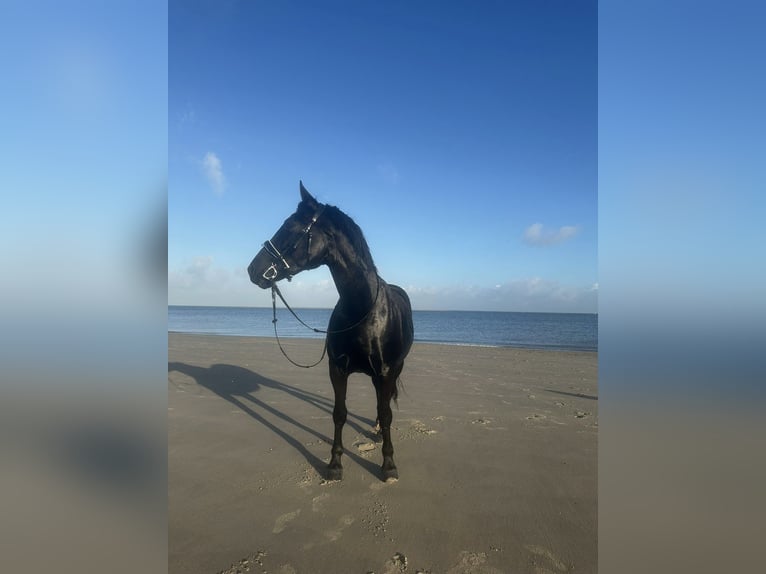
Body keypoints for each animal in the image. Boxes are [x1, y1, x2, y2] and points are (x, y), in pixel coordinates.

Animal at [248, 182, 414, 482]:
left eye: (288, 227)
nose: (252, 270)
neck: (362, 310)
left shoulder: (385, 371)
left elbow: (386, 414)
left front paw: (388, 465)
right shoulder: (337, 369)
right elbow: (339, 413)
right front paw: (335, 463)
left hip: (395, 369)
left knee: (384, 405)